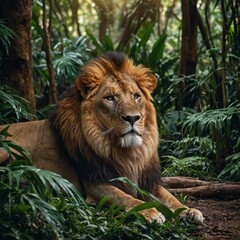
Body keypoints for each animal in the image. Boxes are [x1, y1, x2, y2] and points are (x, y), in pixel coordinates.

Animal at [0, 52, 203, 223]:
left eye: (136, 96)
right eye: (110, 98)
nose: (132, 118)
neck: (127, 153)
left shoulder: (147, 181)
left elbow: (170, 197)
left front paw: (188, 211)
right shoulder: (96, 183)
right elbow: (127, 198)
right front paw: (151, 212)